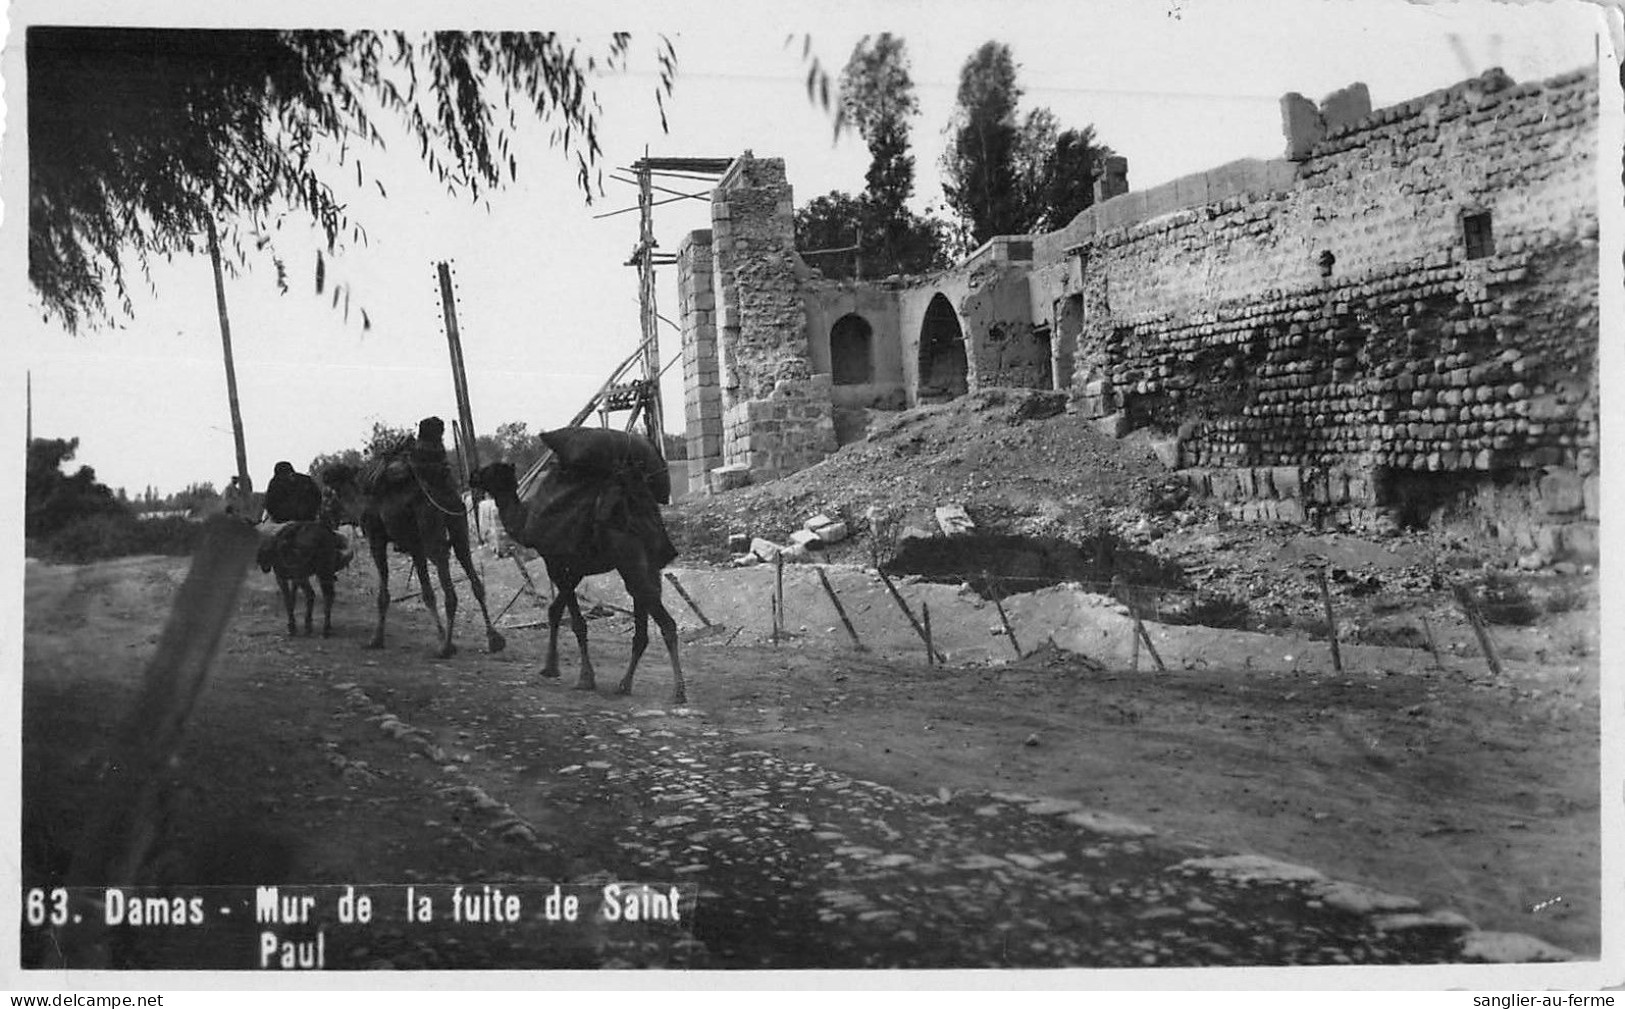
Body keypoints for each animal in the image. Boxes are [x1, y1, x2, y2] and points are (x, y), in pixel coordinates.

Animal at [323, 415, 507, 656]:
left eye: (328, 495)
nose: (326, 513)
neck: (360, 498)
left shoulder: (376, 538)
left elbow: (384, 594)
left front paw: (376, 639)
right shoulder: (415, 546)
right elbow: (427, 593)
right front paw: (440, 636)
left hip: (431, 530)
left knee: (450, 590)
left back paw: (446, 648)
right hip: (458, 525)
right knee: (474, 578)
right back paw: (493, 640)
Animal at [474, 428, 692, 705]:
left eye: (489, 471)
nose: (471, 476)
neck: (526, 520)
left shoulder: (556, 563)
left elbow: (576, 622)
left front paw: (585, 678)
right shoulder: (575, 569)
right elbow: (554, 611)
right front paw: (550, 667)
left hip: (630, 563)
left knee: (666, 622)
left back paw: (678, 691)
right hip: (647, 565)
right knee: (642, 629)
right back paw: (625, 684)